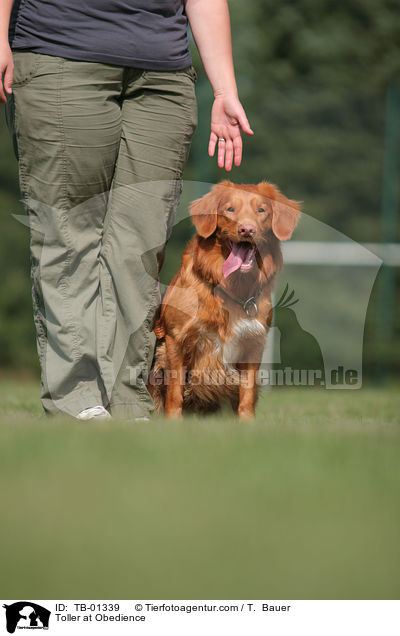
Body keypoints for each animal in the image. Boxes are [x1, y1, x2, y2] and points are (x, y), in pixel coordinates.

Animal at [148, 179, 300, 420]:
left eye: (261, 210)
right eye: (230, 209)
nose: (247, 229)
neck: (234, 287)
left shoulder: (253, 343)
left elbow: (246, 393)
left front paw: (247, 423)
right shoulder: (176, 339)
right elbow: (175, 391)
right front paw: (174, 422)